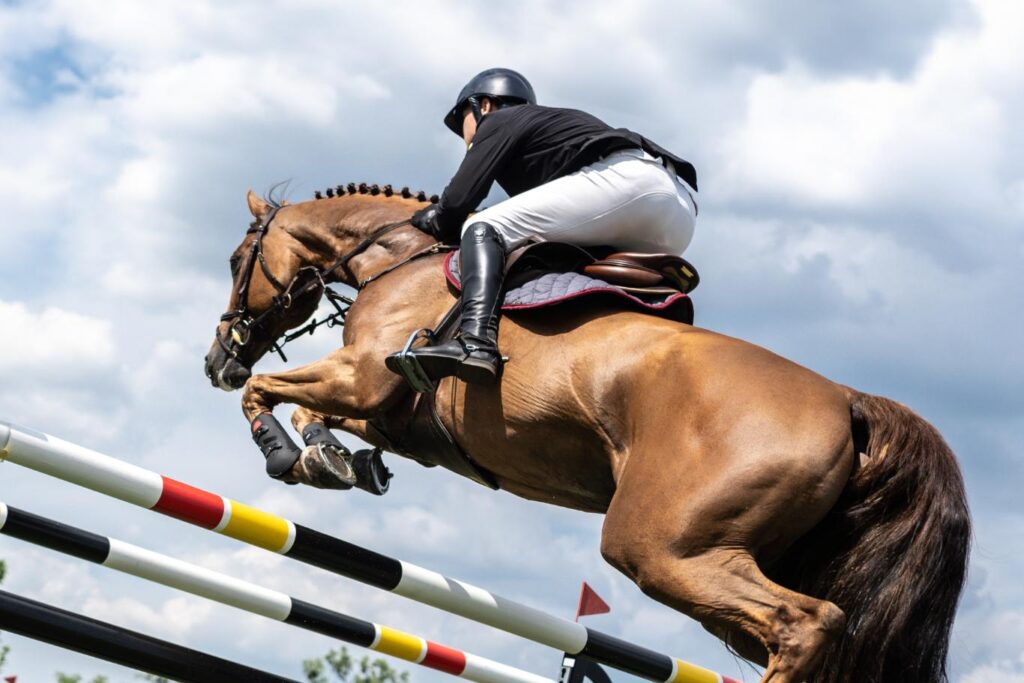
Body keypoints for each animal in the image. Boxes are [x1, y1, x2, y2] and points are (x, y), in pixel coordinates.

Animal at [203, 185, 970, 683]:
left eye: (238, 260)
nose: (217, 359)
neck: (396, 258)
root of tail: (849, 400)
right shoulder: (387, 410)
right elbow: (316, 414)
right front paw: (333, 459)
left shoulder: (362, 377)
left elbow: (265, 393)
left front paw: (285, 454)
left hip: (663, 548)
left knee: (803, 624)